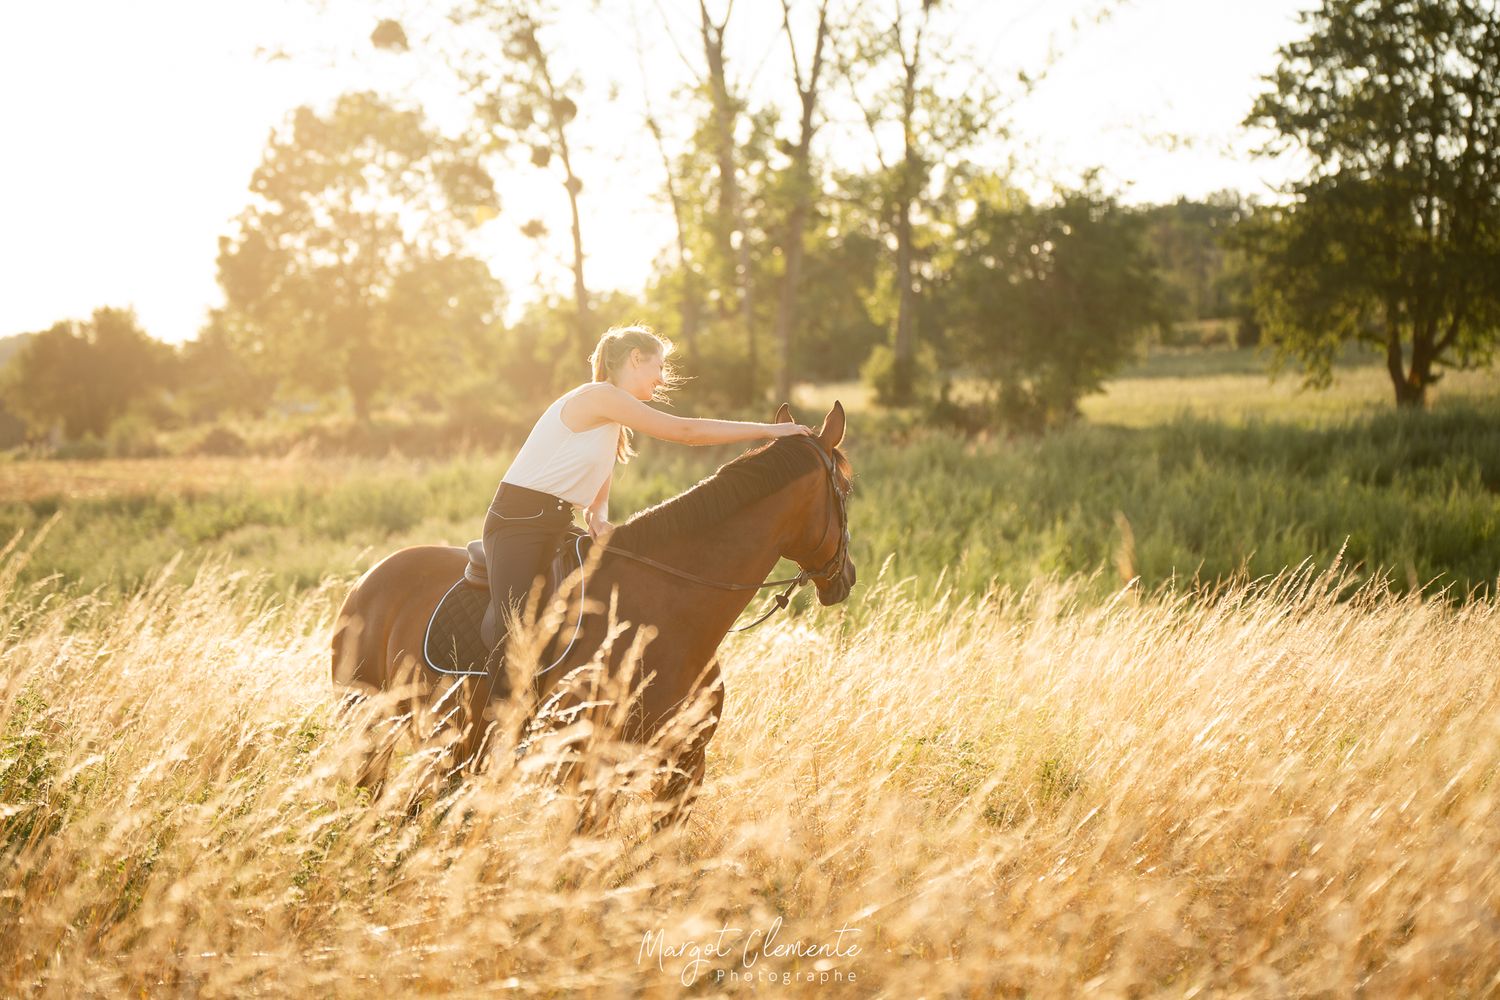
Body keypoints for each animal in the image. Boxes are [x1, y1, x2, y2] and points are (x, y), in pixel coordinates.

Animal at [330, 401, 855, 824]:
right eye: (847, 490)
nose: (845, 577)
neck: (669, 614)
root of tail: (366, 581)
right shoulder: (589, 769)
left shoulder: (685, 766)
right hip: (371, 729)